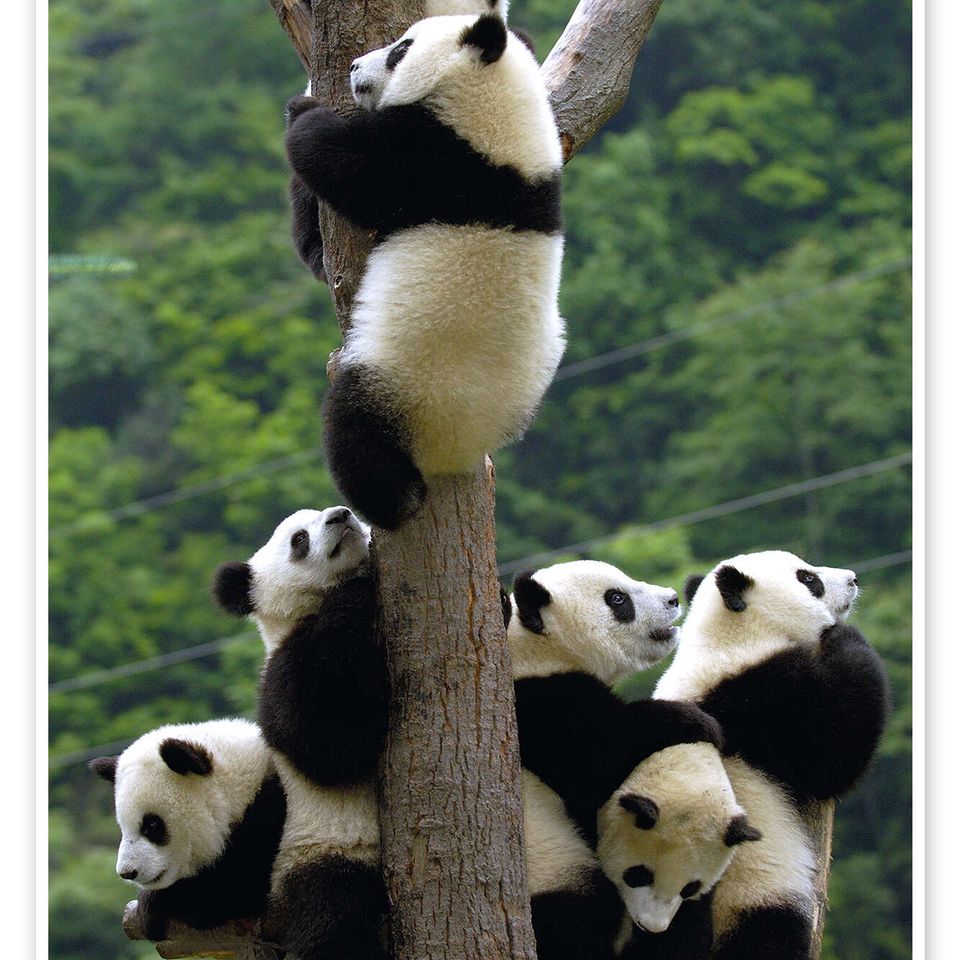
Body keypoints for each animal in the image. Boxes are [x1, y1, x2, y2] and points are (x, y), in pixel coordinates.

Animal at [89, 718, 286, 942]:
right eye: (123, 826)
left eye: (152, 825)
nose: (128, 872)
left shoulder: (270, 823)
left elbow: (231, 889)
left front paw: (152, 907)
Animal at [213, 506, 390, 960]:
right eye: (298, 539)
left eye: (342, 509)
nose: (341, 516)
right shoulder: (283, 670)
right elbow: (326, 749)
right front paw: (356, 592)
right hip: (318, 848)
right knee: (333, 916)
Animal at [285, 12, 565, 529]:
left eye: (401, 48)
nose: (353, 66)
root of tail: (459, 448)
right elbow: (317, 254)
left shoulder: (438, 162)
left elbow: (344, 164)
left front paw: (304, 109)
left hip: (400, 381)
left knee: (355, 431)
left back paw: (393, 502)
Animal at [508, 560, 724, 848]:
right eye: (617, 598)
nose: (672, 599)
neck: (540, 650)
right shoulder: (543, 707)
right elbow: (595, 760)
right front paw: (699, 721)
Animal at [654, 550, 891, 960]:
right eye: (809, 579)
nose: (853, 578)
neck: (729, 636)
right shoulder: (763, 701)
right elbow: (831, 756)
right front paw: (842, 636)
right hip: (752, 891)